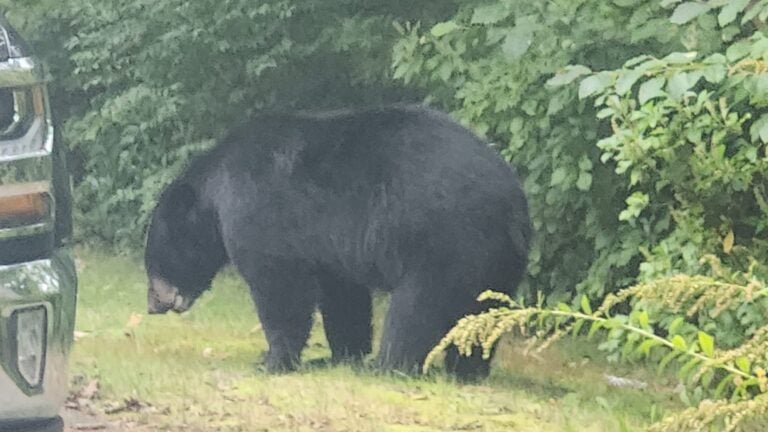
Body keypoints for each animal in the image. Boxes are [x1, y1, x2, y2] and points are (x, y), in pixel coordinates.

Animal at [144, 106, 532, 380]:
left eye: (153, 260)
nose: (152, 304)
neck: (217, 193)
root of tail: (511, 200)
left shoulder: (260, 210)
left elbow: (280, 288)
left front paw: (272, 360)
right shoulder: (329, 248)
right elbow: (343, 296)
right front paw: (340, 355)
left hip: (443, 241)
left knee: (418, 308)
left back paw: (387, 365)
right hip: (497, 261)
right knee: (483, 315)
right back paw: (467, 371)